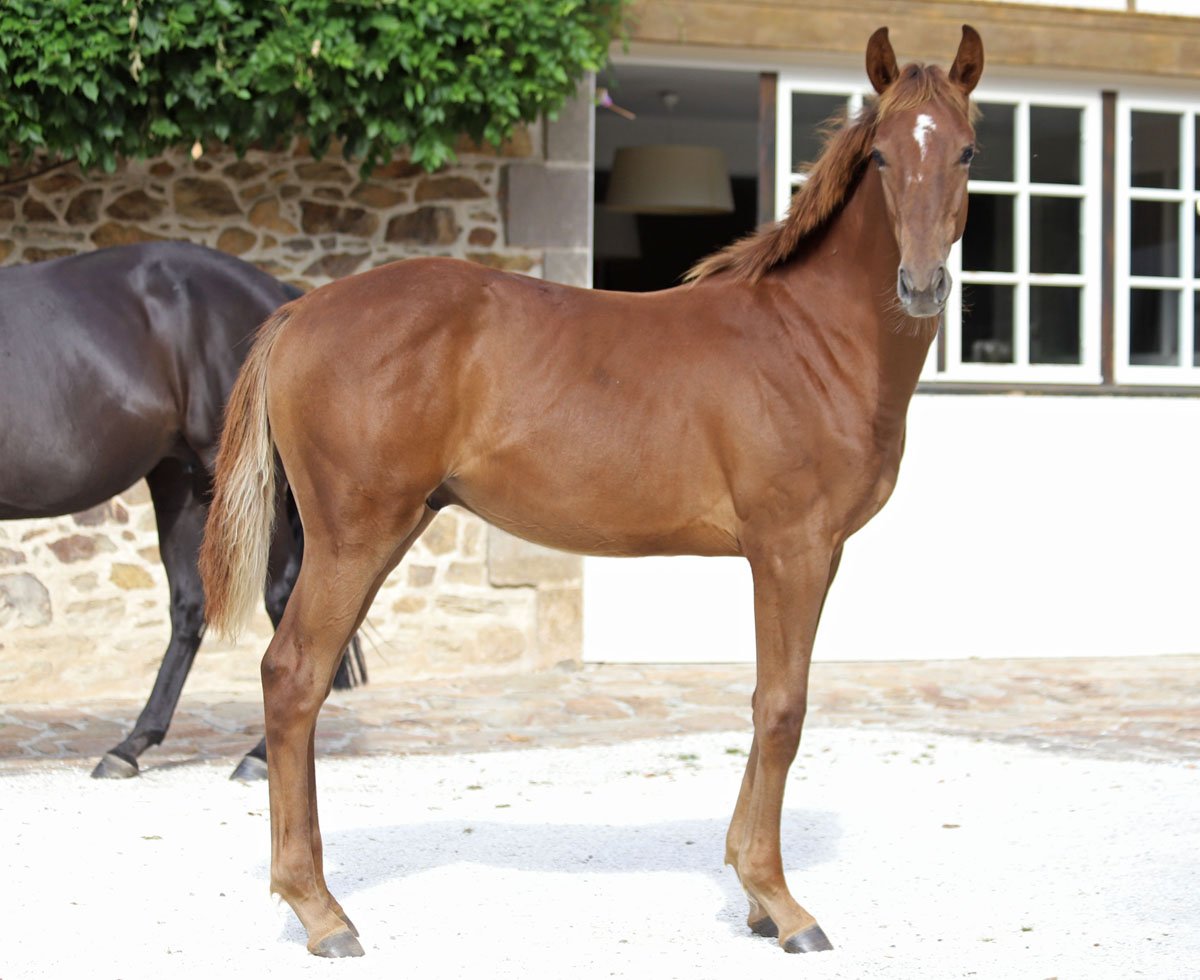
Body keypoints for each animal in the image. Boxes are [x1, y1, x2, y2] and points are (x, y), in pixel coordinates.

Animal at [0, 241, 363, 781]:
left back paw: (257, 756)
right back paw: (130, 746)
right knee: (190, 605)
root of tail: (282, 298)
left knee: (279, 597)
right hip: (180, 477)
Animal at [199, 25, 983, 957]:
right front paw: (782, 904)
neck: (809, 339)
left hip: (385, 533)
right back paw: (321, 913)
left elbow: (766, 701)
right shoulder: (792, 549)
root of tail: (300, 313)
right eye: (884, 157)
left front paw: (752, 895)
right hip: (354, 536)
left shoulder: (801, 557)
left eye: (968, 152)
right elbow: (783, 707)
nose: (921, 286)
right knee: (293, 677)